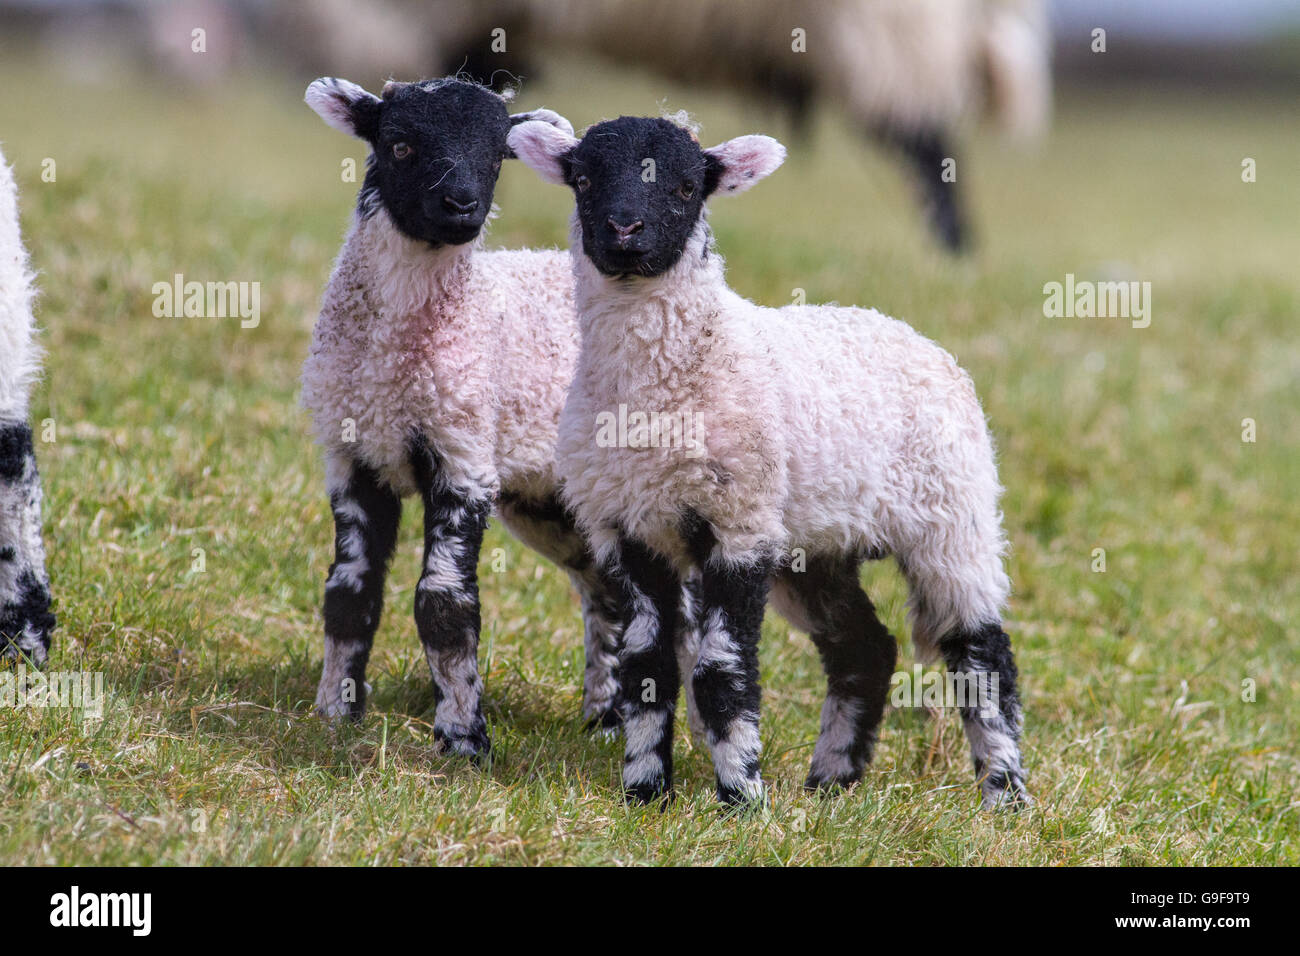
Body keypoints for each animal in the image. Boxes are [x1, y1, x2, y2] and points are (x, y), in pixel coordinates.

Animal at [300, 78, 707, 759]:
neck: (390, 360)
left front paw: (464, 739)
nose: (461, 205)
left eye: (496, 158)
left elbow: (444, 604)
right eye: (399, 143)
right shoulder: (352, 456)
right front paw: (334, 714)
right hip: (554, 501)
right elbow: (349, 594)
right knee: (607, 596)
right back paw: (604, 719)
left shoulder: (463, 451)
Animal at [506, 115, 1024, 811]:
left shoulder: (740, 522)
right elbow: (646, 670)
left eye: (685, 185)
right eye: (583, 179)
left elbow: (721, 673)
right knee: (864, 648)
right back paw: (831, 784)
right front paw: (645, 792)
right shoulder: (628, 528)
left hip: (952, 514)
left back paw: (1005, 792)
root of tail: (911, 333)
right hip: (816, 546)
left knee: (980, 650)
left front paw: (741, 799)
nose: (623, 230)